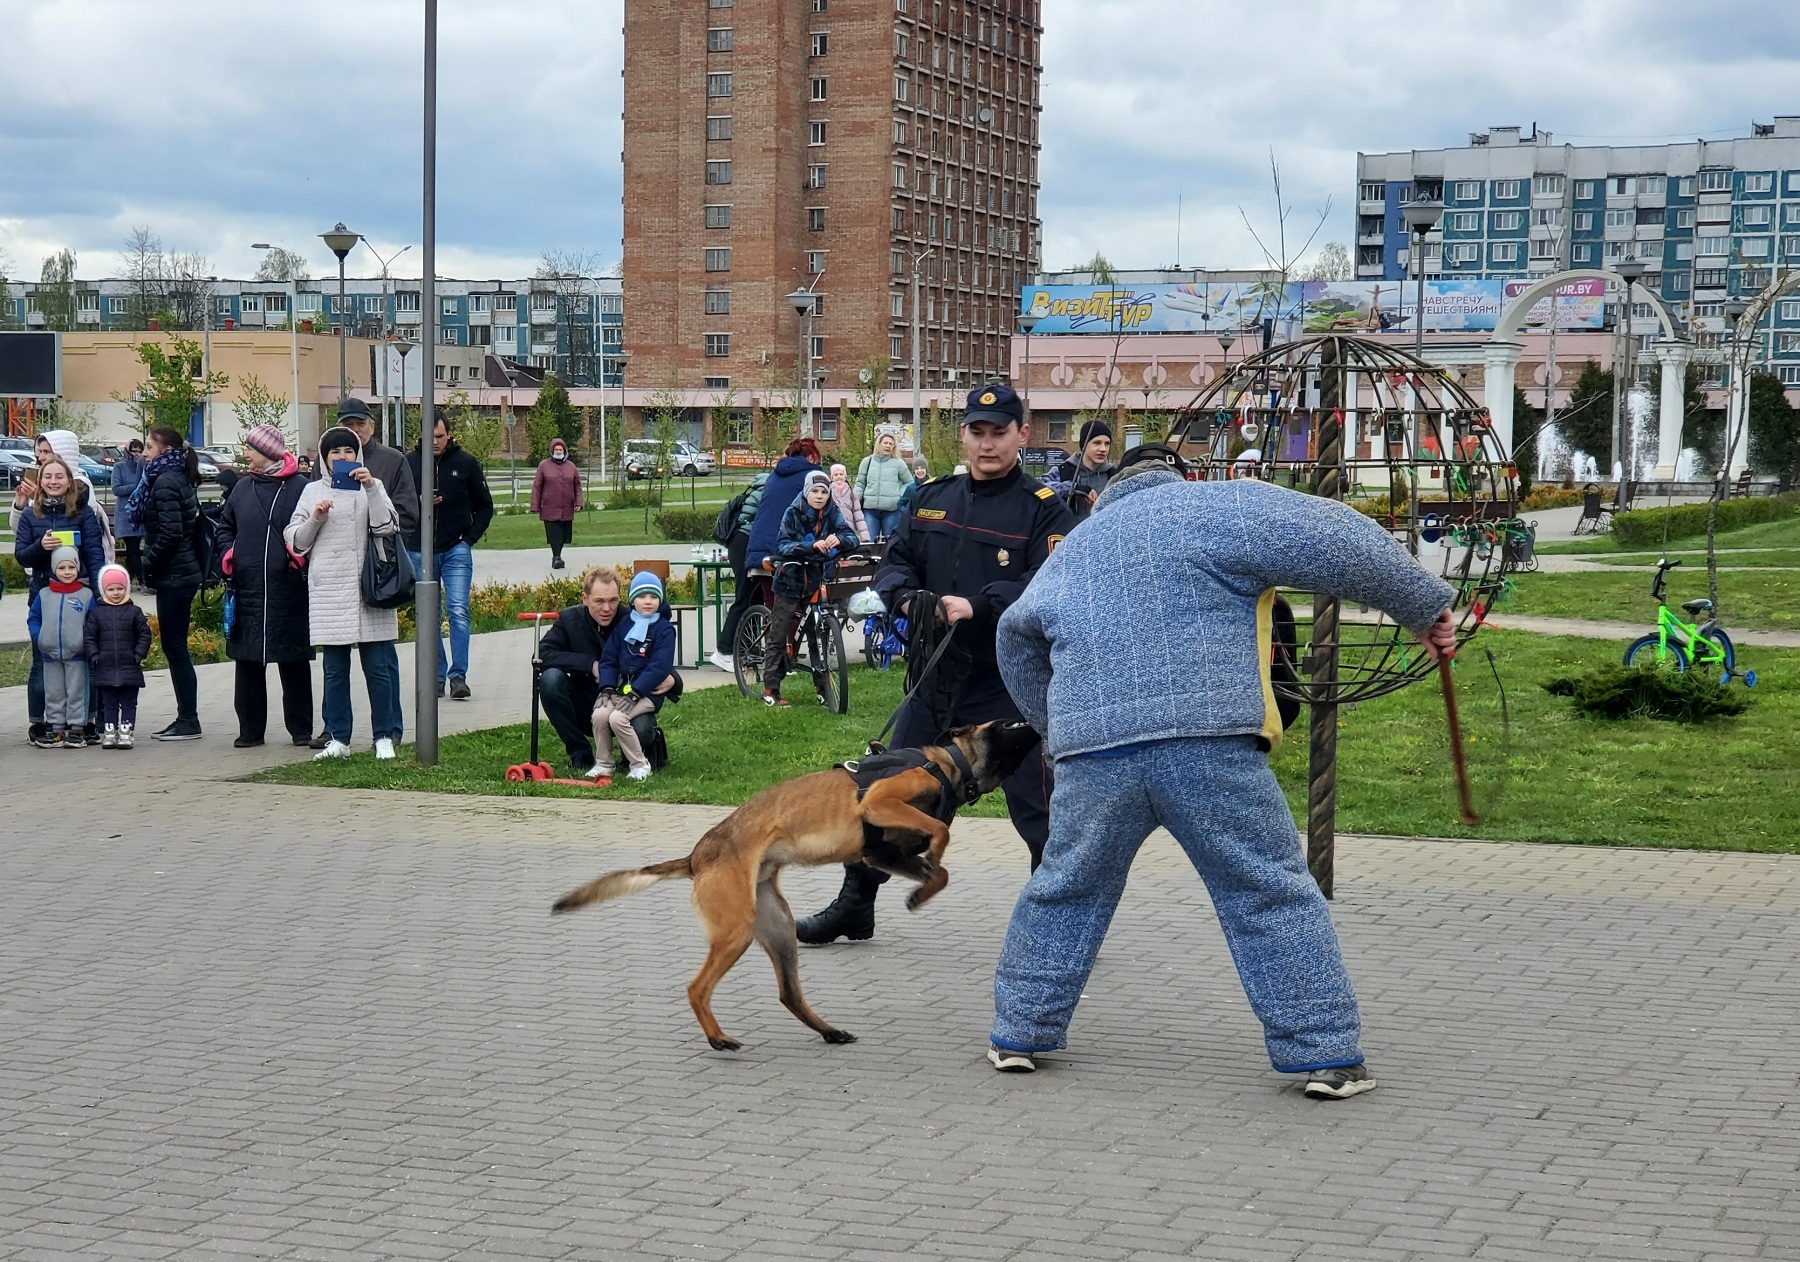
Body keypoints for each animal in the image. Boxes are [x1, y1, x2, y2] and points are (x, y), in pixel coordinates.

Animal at [547, 720, 1044, 1051]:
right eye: (1010, 725)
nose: (1036, 722)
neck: (947, 764)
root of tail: (697, 856)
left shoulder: (880, 853)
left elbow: (938, 869)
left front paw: (920, 891)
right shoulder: (879, 803)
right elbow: (941, 834)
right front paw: (933, 860)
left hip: (778, 928)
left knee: (788, 993)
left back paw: (828, 1030)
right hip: (736, 931)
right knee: (697, 987)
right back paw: (718, 1037)